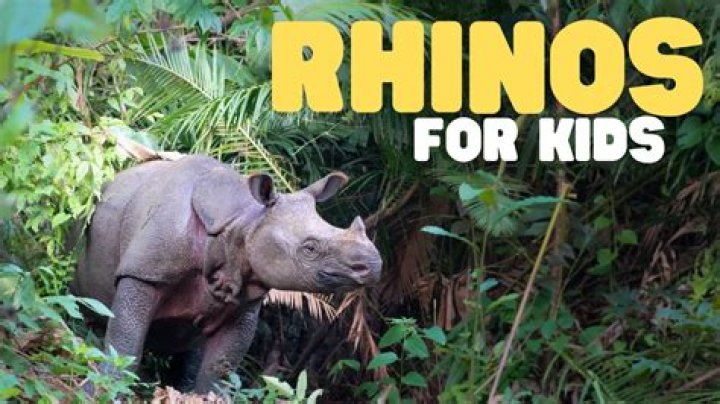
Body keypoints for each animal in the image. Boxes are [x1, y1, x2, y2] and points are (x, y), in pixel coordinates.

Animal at [71, 155, 382, 392]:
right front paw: (101, 390)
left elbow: (219, 368)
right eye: (310, 249)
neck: (243, 222)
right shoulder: (145, 271)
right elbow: (124, 344)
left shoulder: (244, 302)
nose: (374, 264)